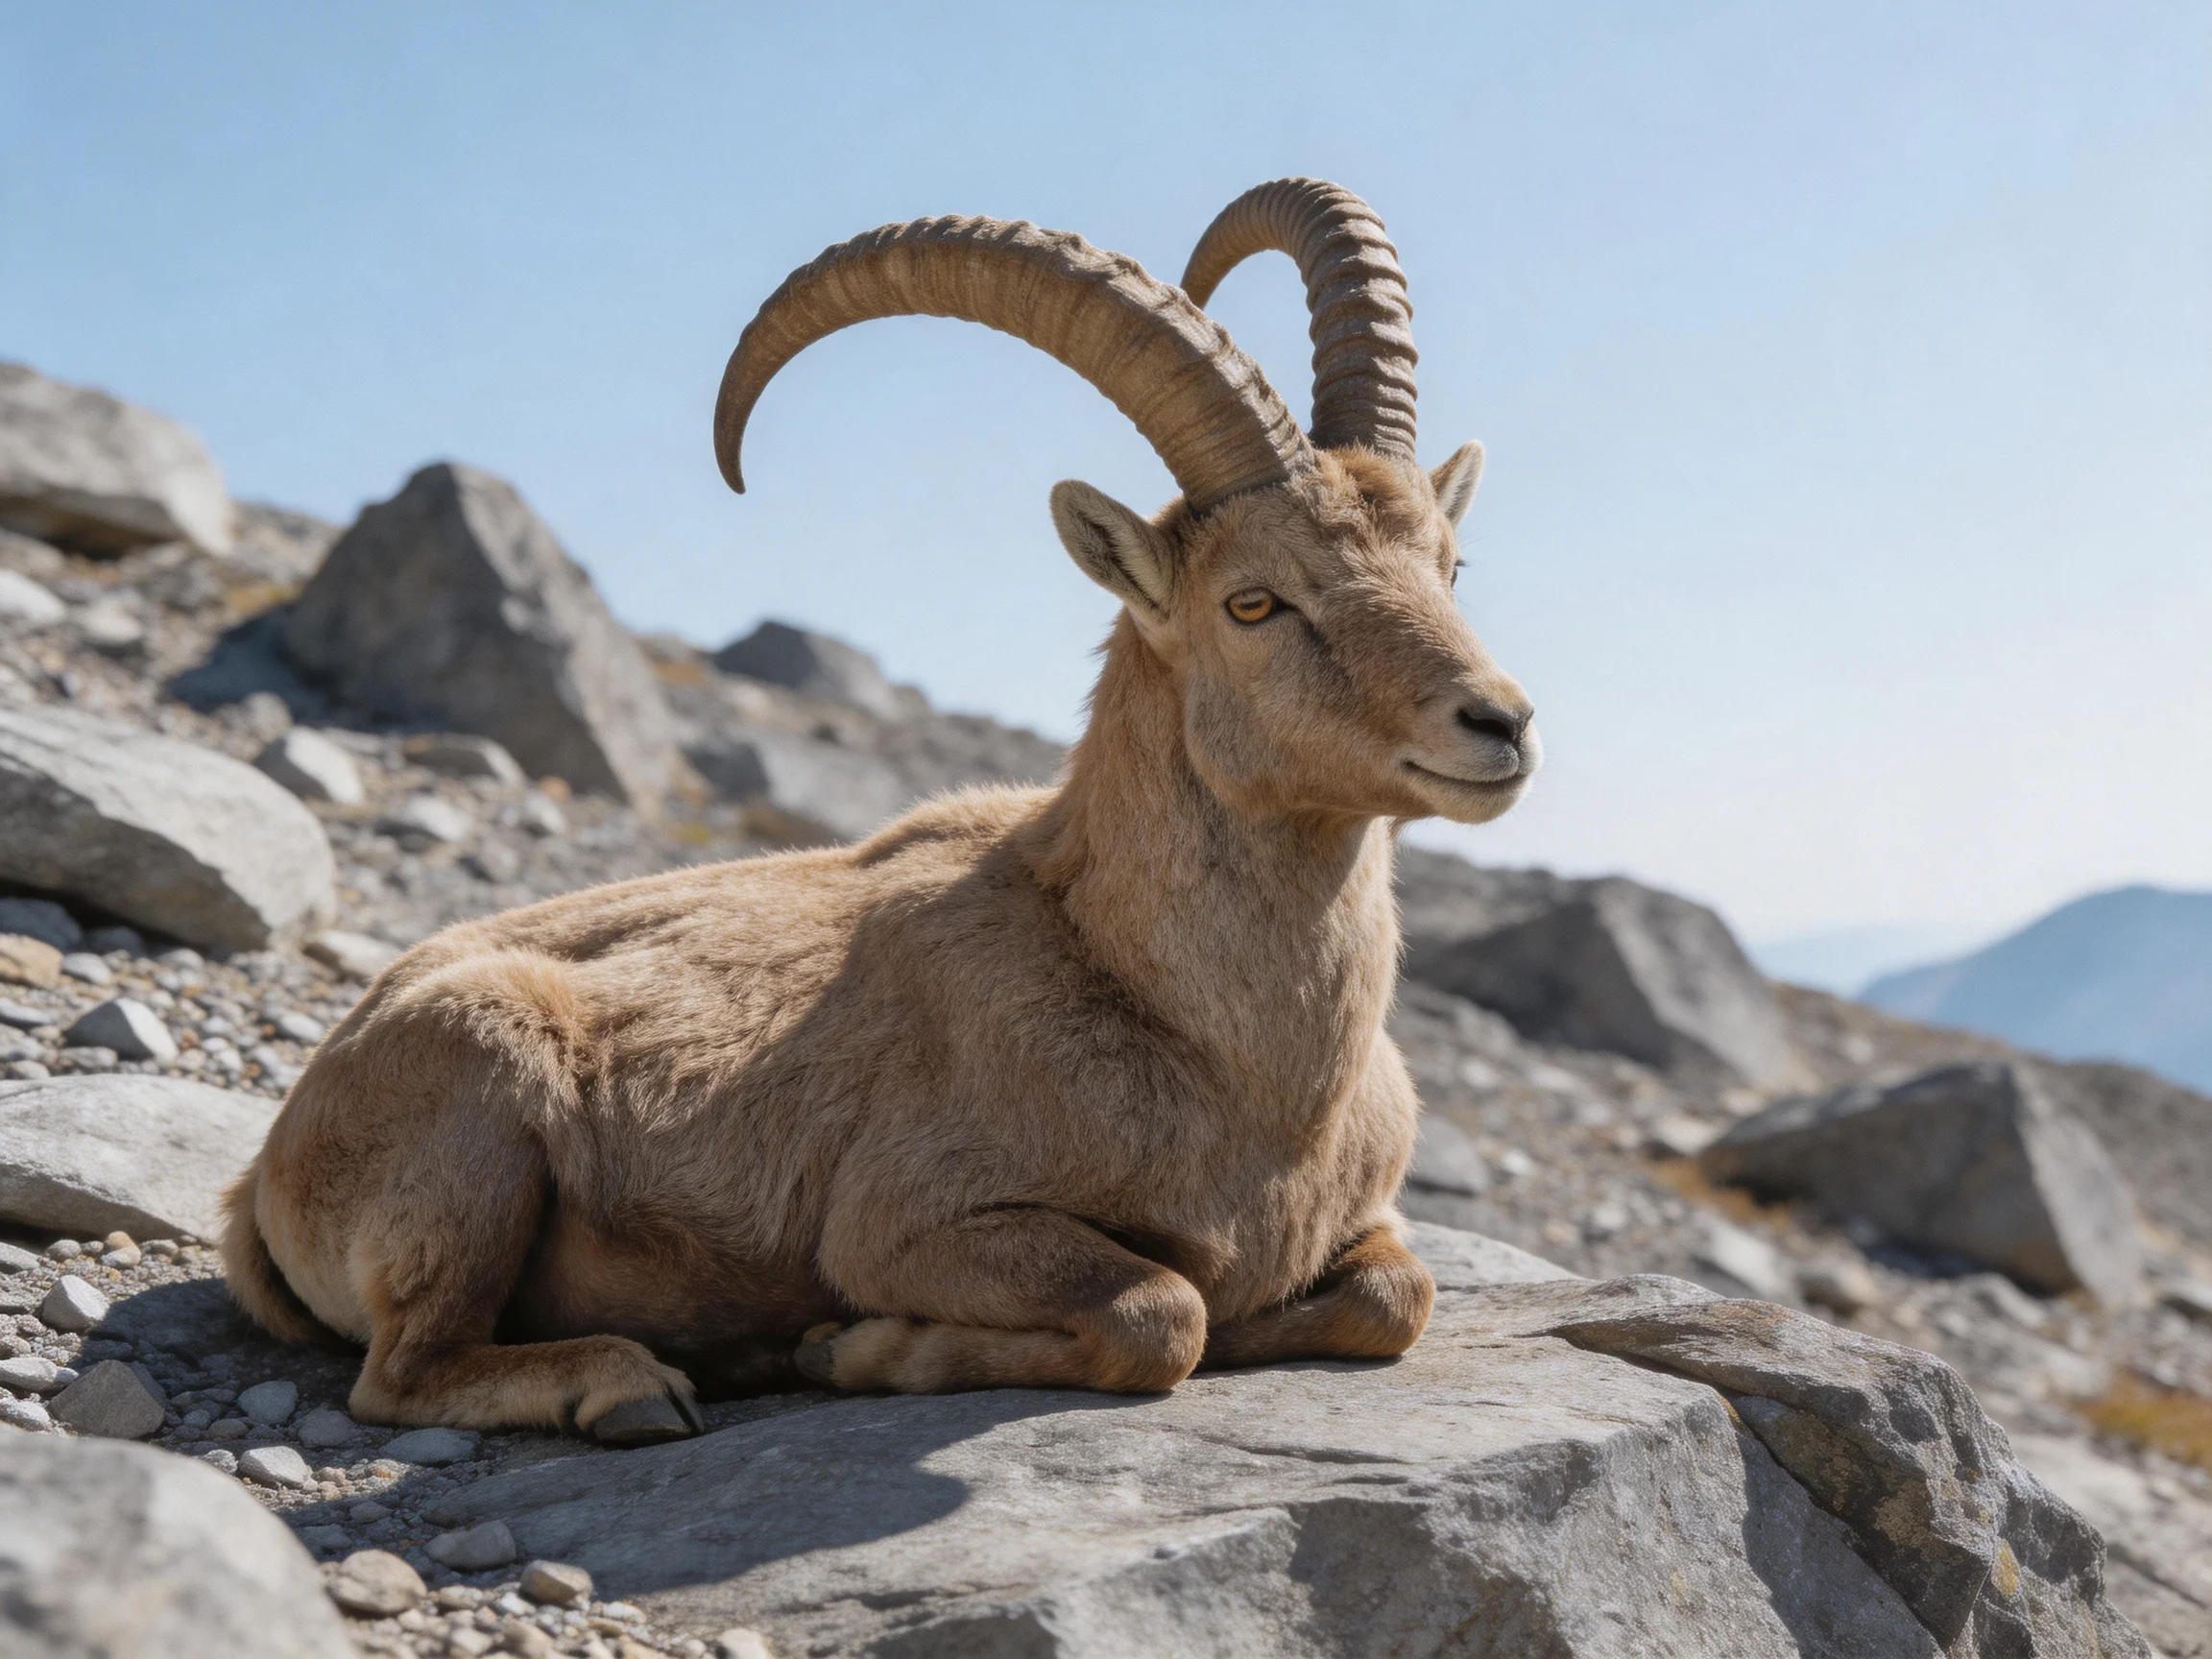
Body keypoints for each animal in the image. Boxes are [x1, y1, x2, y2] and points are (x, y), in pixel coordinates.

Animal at [222, 179, 1540, 1443]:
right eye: (1254, 601)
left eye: (1450, 565)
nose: (1502, 724)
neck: (1238, 1067)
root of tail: (268, 1172)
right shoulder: (907, 1221)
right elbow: (1164, 1310)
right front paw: (851, 1351)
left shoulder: (1365, 1224)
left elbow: (1395, 1295)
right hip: (479, 1100)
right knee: (402, 1374)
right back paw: (635, 1384)